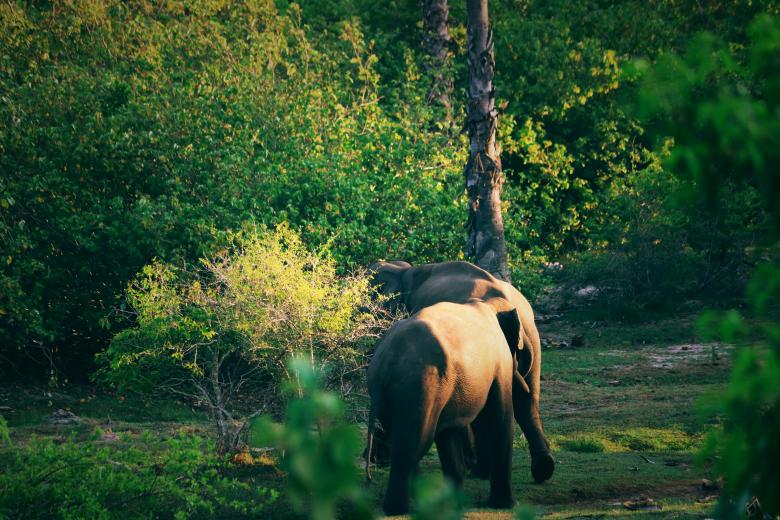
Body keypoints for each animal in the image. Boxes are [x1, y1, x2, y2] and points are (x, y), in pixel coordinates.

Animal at [366, 297, 521, 515]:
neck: (487, 304)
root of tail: (386, 360)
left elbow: (450, 433)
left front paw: (455, 504)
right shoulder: (501, 364)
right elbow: (500, 418)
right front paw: (506, 505)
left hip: (401, 395)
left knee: (405, 441)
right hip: (420, 387)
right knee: (414, 446)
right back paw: (399, 509)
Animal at [368, 260, 554, 484]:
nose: (377, 461)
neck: (402, 269)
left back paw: (481, 470)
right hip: (533, 340)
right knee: (527, 401)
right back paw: (542, 469)